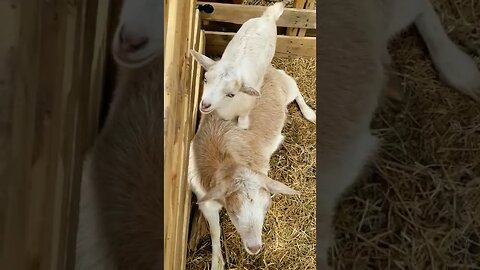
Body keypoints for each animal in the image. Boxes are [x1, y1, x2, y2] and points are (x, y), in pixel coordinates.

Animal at [189, 66, 316, 270]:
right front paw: (217, 262)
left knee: (293, 84)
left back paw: (310, 114)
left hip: (285, 85)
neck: (227, 160)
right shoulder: (206, 199)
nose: (254, 247)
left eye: (266, 208)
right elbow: (215, 232)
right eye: (233, 213)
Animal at [190, 1, 284, 130]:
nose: (205, 104)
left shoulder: (246, 107)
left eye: (231, 95)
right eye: (205, 79)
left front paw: (242, 125)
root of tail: (268, 18)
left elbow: (242, 122)